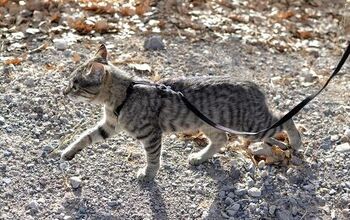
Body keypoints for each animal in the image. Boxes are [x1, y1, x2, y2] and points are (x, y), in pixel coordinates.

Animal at [60, 44, 300, 180]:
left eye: (75, 85)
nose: (64, 92)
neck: (126, 93)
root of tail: (254, 85)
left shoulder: (150, 133)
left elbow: (153, 157)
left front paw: (148, 174)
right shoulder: (109, 125)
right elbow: (86, 136)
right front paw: (69, 151)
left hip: (253, 126)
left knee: (284, 118)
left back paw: (296, 142)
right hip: (210, 124)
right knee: (221, 139)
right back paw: (200, 157)